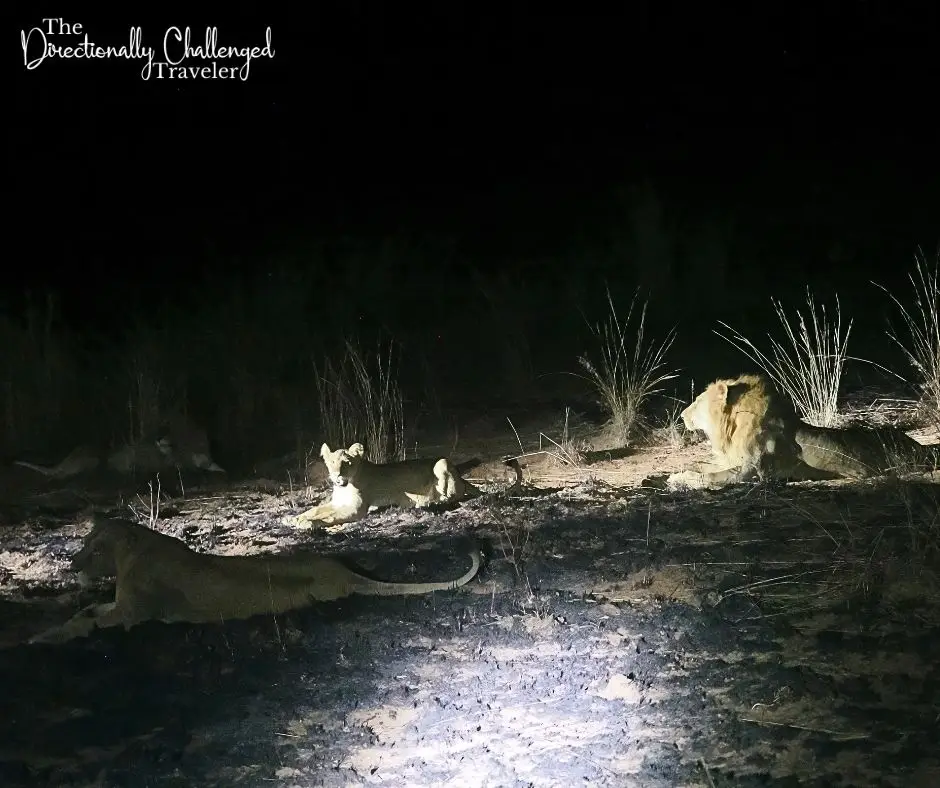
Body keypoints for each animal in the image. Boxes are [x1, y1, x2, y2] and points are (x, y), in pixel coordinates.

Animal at [29, 517, 481, 645]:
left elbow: (89, 621)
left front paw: (46, 637)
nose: (72, 562)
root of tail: (344, 572)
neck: (128, 557)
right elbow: (87, 610)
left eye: (95, 547)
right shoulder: (119, 605)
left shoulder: (132, 614)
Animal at [284, 443, 522, 528]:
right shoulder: (336, 503)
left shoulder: (356, 509)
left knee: (452, 497)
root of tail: (462, 478)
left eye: (347, 463)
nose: (336, 477)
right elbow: (316, 509)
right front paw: (294, 518)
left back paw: (425, 504)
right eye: (331, 463)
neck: (344, 485)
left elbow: (330, 517)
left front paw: (308, 524)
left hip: (443, 463)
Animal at [668, 373, 937, 489]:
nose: (681, 416)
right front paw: (672, 474)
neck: (731, 428)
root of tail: (921, 446)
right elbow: (702, 466)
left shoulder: (752, 472)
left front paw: (678, 479)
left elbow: (710, 476)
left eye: (697, 402)